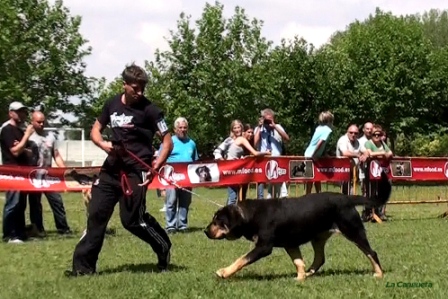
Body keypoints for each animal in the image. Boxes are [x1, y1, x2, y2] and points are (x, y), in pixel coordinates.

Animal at [205, 171, 390, 282]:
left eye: (217, 221)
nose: (206, 231)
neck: (250, 216)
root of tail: (346, 198)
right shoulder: (290, 244)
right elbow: (299, 262)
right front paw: (300, 277)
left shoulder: (264, 247)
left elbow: (242, 259)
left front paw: (224, 272)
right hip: (318, 237)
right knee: (320, 258)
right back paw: (308, 273)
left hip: (352, 230)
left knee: (371, 252)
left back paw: (379, 273)